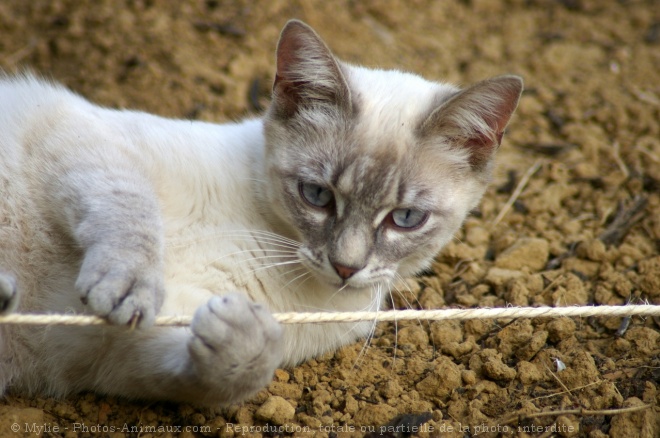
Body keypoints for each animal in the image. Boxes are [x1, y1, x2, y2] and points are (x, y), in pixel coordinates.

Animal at [0, 19, 520, 404]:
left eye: (405, 218)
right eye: (316, 195)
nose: (346, 267)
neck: (270, 244)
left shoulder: (113, 351)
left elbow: (234, 372)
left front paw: (240, 330)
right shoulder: (83, 138)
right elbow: (131, 212)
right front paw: (129, 288)